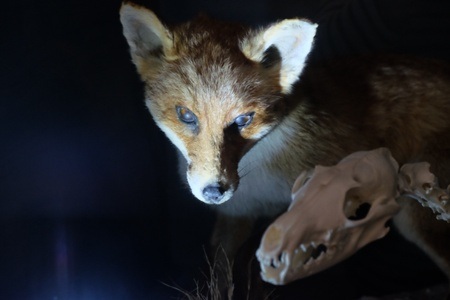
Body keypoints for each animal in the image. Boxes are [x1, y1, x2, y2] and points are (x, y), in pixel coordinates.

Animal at [119, 2, 450, 284]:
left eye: (243, 119)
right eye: (186, 115)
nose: (214, 191)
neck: (262, 183)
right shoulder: (236, 215)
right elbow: (222, 272)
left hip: (416, 219)